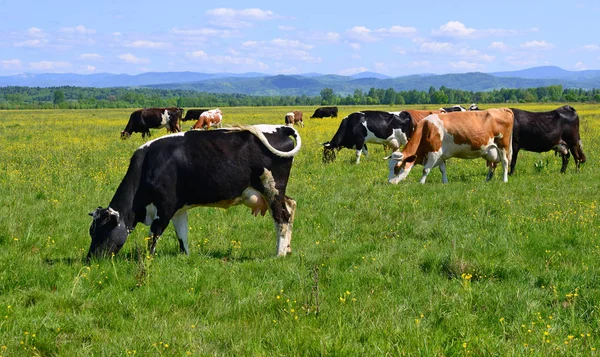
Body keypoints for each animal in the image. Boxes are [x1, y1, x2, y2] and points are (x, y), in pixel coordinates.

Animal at [86, 124, 302, 260]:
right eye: (91, 231)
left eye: (104, 231)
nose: (90, 259)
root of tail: (280, 128)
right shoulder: (179, 209)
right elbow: (182, 235)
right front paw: (185, 257)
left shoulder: (165, 207)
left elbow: (153, 236)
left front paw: (148, 260)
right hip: (275, 192)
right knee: (291, 205)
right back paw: (288, 250)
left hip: (271, 189)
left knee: (282, 217)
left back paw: (279, 254)